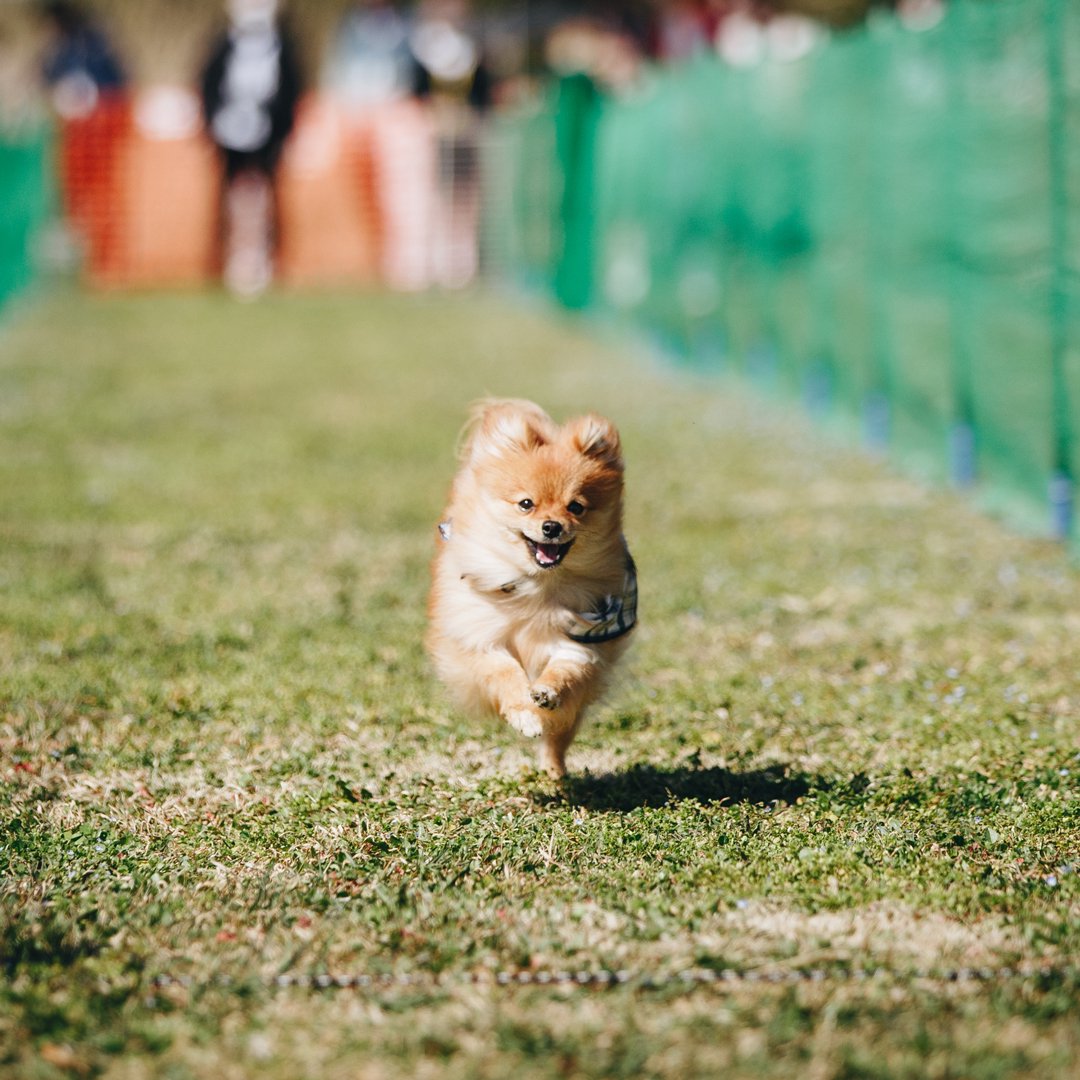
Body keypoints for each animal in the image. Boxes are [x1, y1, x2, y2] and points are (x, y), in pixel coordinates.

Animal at [425, 399, 635, 777]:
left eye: (576, 507)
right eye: (526, 504)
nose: (551, 526)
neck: (538, 587)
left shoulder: (583, 639)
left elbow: (566, 672)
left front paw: (546, 693)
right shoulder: (480, 637)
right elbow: (505, 673)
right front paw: (524, 713)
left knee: (559, 736)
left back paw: (555, 773)